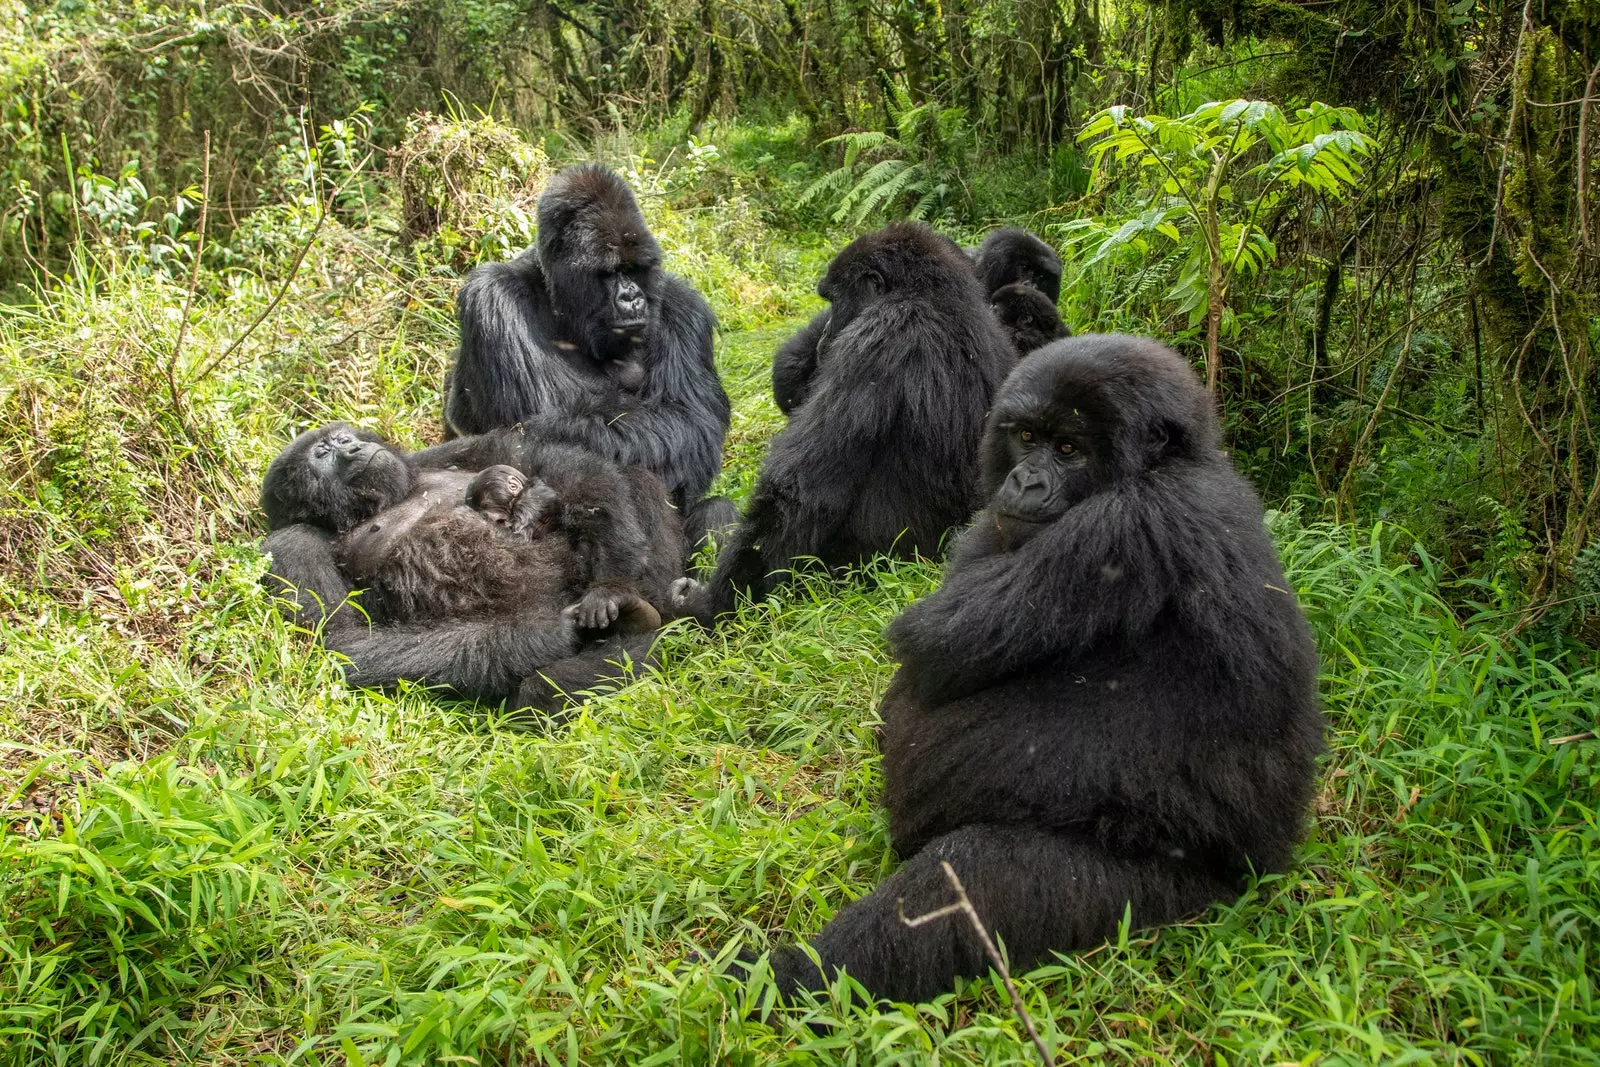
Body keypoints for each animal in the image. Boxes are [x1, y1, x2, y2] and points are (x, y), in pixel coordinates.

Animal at [441, 163, 732, 547]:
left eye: (633, 268)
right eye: (609, 272)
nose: (632, 298)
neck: (561, 305)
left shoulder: (684, 308)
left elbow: (691, 422)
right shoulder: (493, 297)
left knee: (717, 510)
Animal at [697, 223, 1011, 617]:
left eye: (833, 300)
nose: (826, 332)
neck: (934, 296)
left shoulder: (876, 338)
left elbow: (796, 497)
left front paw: (712, 606)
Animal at [748, 335, 1324, 1011]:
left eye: (1069, 449)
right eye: (1025, 437)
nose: (1024, 480)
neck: (1168, 465)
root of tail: (1259, 872)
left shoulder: (1127, 524)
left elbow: (931, 650)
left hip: (1156, 897)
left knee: (973, 878)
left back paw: (790, 978)